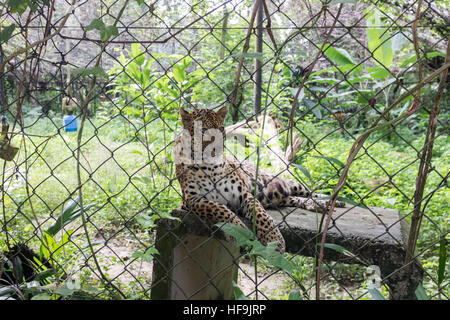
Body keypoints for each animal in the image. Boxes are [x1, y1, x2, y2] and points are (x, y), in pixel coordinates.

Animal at [175, 106, 344, 254]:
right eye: (202, 130)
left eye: (220, 129)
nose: (217, 148)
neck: (209, 167)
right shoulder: (191, 200)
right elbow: (220, 209)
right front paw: (241, 230)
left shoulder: (245, 194)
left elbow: (261, 214)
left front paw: (274, 240)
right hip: (279, 197)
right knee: (296, 199)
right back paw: (321, 206)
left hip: (289, 183)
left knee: (309, 192)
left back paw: (330, 202)